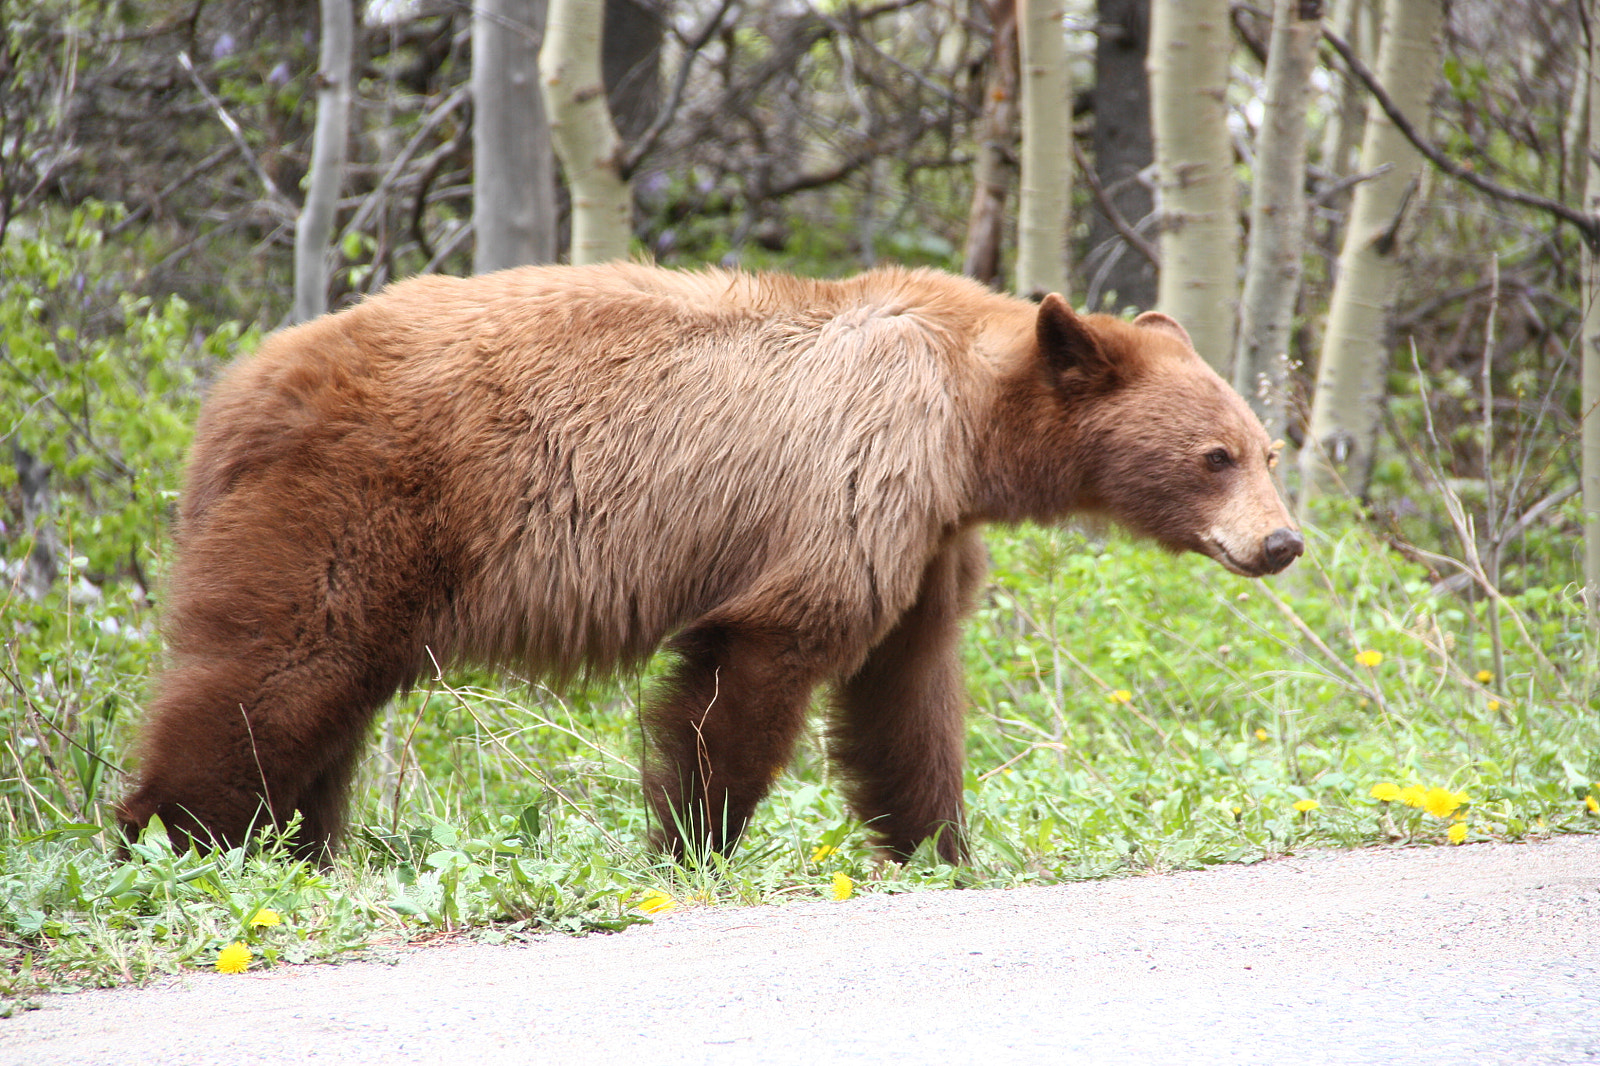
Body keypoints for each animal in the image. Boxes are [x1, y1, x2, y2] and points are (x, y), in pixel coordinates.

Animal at [115, 262, 1302, 865]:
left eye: (1266, 449)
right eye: (1214, 455)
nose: (1280, 541)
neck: (969, 423)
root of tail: (233, 394)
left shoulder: (926, 532)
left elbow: (908, 690)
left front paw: (939, 843)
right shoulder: (851, 477)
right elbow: (764, 658)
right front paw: (695, 840)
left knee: (327, 704)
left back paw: (296, 846)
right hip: (358, 507)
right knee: (276, 673)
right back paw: (178, 838)